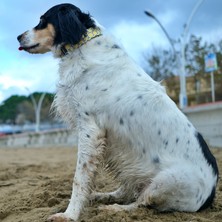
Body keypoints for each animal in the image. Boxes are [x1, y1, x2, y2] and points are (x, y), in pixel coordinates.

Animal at [17, 3, 219, 222]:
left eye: (42, 20)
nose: (18, 37)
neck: (82, 43)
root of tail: (210, 195)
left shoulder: (90, 129)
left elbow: (79, 178)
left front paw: (69, 214)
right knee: (128, 191)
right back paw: (102, 197)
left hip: (164, 181)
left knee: (141, 203)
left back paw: (114, 209)